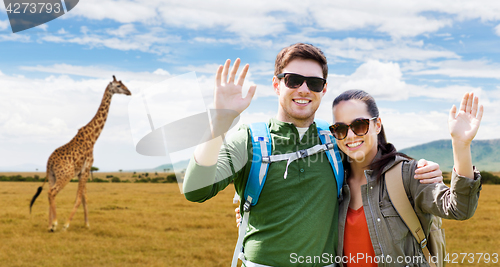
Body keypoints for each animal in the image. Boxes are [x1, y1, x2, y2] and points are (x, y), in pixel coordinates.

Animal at [29, 76, 131, 232]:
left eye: (123, 84)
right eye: (119, 85)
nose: (129, 92)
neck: (93, 137)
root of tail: (49, 162)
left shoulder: (82, 171)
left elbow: (84, 197)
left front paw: (87, 224)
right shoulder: (86, 168)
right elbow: (78, 198)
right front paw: (66, 224)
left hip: (52, 175)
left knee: (48, 192)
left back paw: (50, 225)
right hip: (65, 175)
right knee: (52, 192)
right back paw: (55, 223)